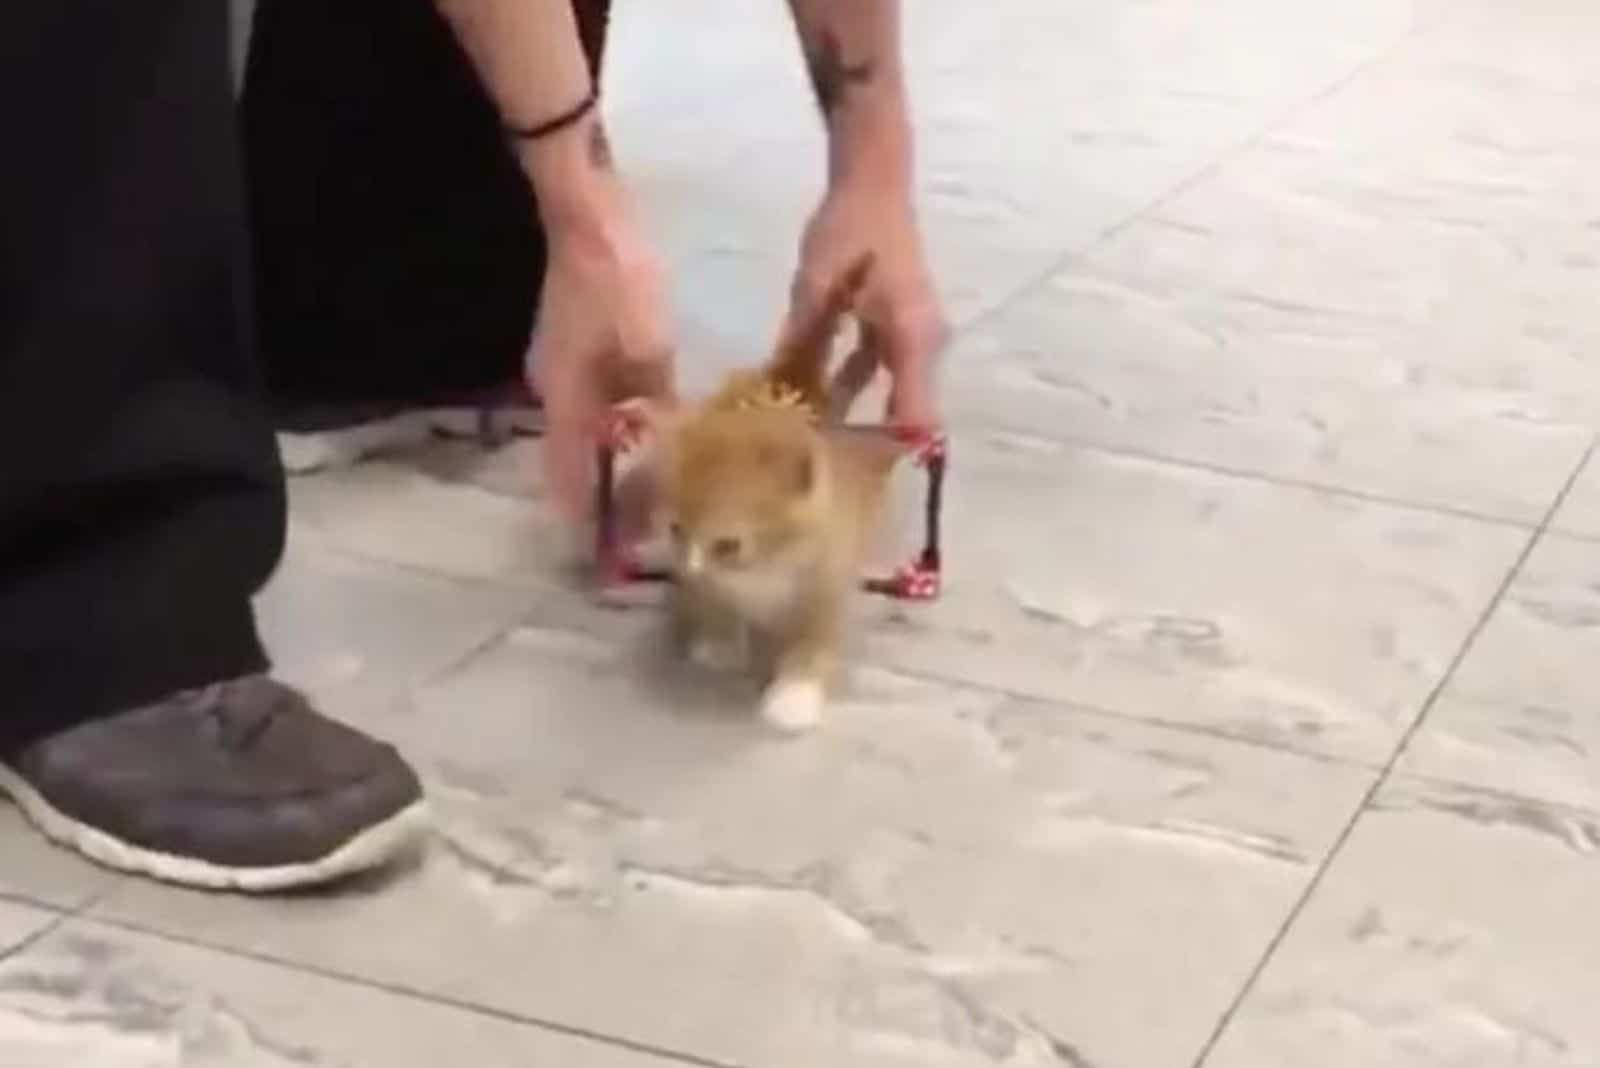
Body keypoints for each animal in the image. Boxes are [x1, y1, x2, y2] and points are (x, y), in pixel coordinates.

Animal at [656, 255, 908, 735]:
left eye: (728, 545)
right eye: (675, 529)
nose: (690, 574)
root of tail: (790, 381)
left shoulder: (827, 585)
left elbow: (813, 642)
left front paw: (794, 697)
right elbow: (720, 604)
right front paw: (719, 639)